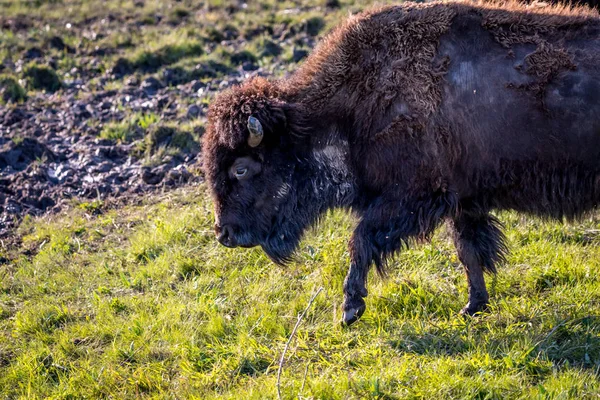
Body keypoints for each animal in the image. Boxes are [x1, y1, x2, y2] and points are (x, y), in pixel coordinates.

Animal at [202, 0, 600, 324]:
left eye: (240, 168)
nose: (224, 234)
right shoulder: (462, 199)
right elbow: (468, 251)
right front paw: (473, 306)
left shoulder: (410, 196)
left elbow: (361, 239)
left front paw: (350, 309)